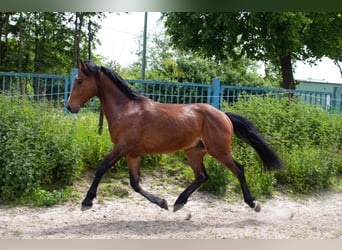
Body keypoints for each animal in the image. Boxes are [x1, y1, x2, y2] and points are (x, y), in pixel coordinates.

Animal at [67, 60, 284, 213]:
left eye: (79, 81)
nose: (70, 107)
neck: (126, 110)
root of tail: (224, 115)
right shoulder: (133, 153)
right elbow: (135, 183)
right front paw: (162, 202)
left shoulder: (122, 147)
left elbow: (101, 168)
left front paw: (87, 201)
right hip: (194, 151)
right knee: (202, 176)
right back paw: (179, 202)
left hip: (219, 151)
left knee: (238, 169)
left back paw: (253, 203)